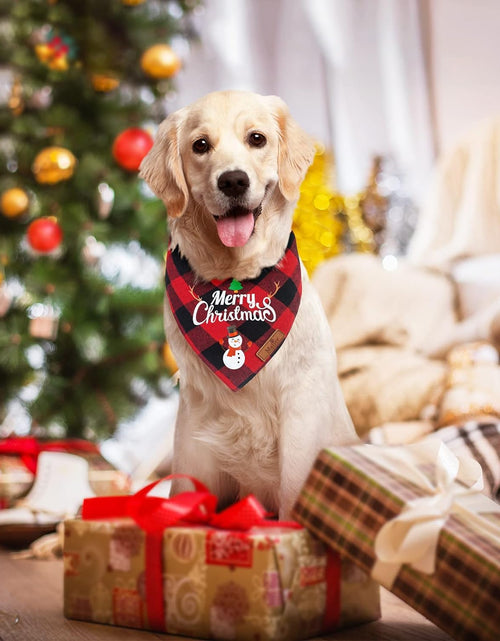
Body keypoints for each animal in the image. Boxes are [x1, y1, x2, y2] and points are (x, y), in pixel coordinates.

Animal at [139, 90, 354, 516]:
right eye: (200, 145)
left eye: (257, 138)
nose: (233, 180)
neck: (236, 283)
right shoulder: (194, 424)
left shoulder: (300, 413)